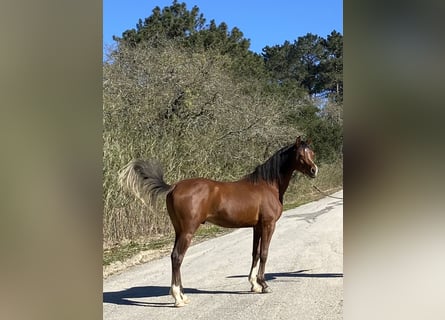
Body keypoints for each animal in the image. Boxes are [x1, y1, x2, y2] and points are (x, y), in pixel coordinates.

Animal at [118, 136, 316, 306]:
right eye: (300, 155)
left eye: (312, 153)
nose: (314, 170)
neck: (267, 185)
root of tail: (174, 187)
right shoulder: (268, 225)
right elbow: (265, 253)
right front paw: (264, 285)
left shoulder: (257, 227)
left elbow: (256, 253)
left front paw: (254, 285)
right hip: (188, 231)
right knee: (177, 257)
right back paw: (178, 298)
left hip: (178, 230)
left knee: (175, 257)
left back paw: (183, 295)